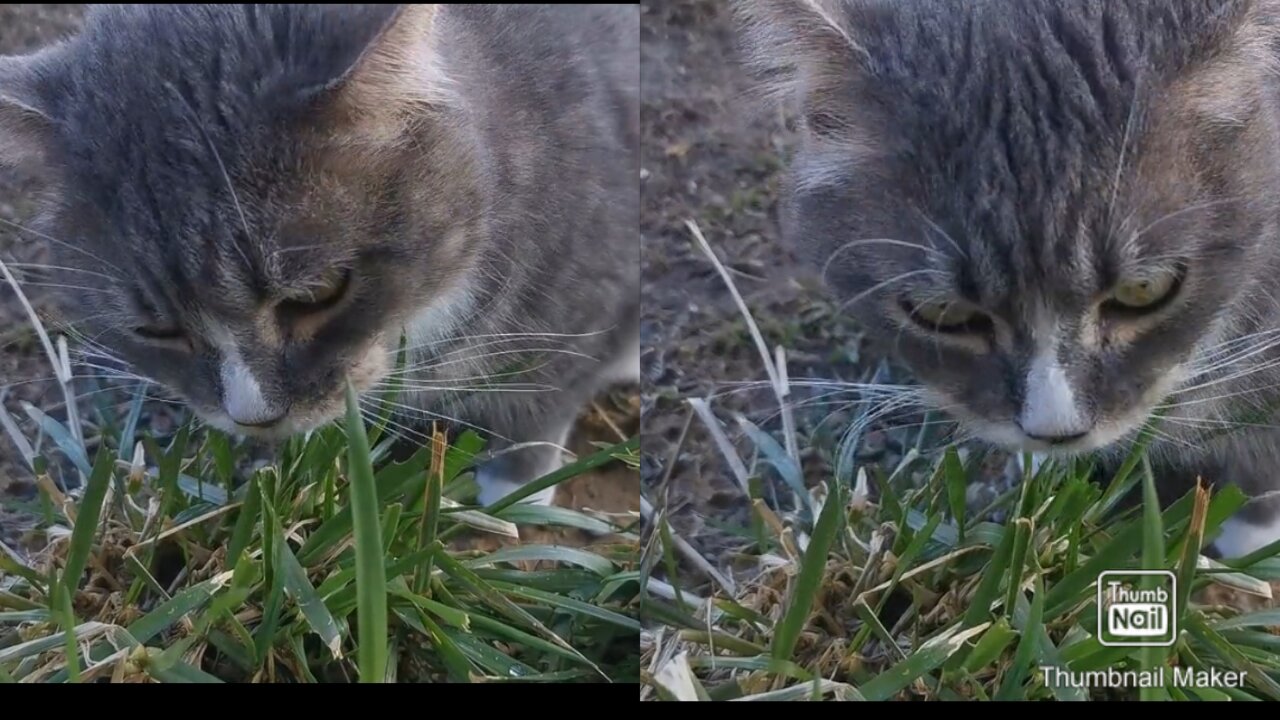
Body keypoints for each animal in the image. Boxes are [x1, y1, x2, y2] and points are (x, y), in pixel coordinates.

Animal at [0, 2, 640, 504]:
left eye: (318, 295)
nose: (255, 418)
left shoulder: (583, 298)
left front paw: (514, 489)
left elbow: (543, 395)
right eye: (157, 331)